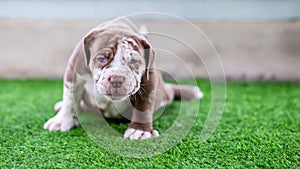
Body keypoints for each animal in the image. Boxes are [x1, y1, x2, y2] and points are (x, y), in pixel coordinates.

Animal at [43, 17, 203, 140]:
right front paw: (62, 120)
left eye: (134, 61)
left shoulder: (149, 78)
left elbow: (144, 105)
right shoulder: (74, 73)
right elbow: (70, 99)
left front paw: (140, 130)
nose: (116, 79)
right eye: (101, 58)